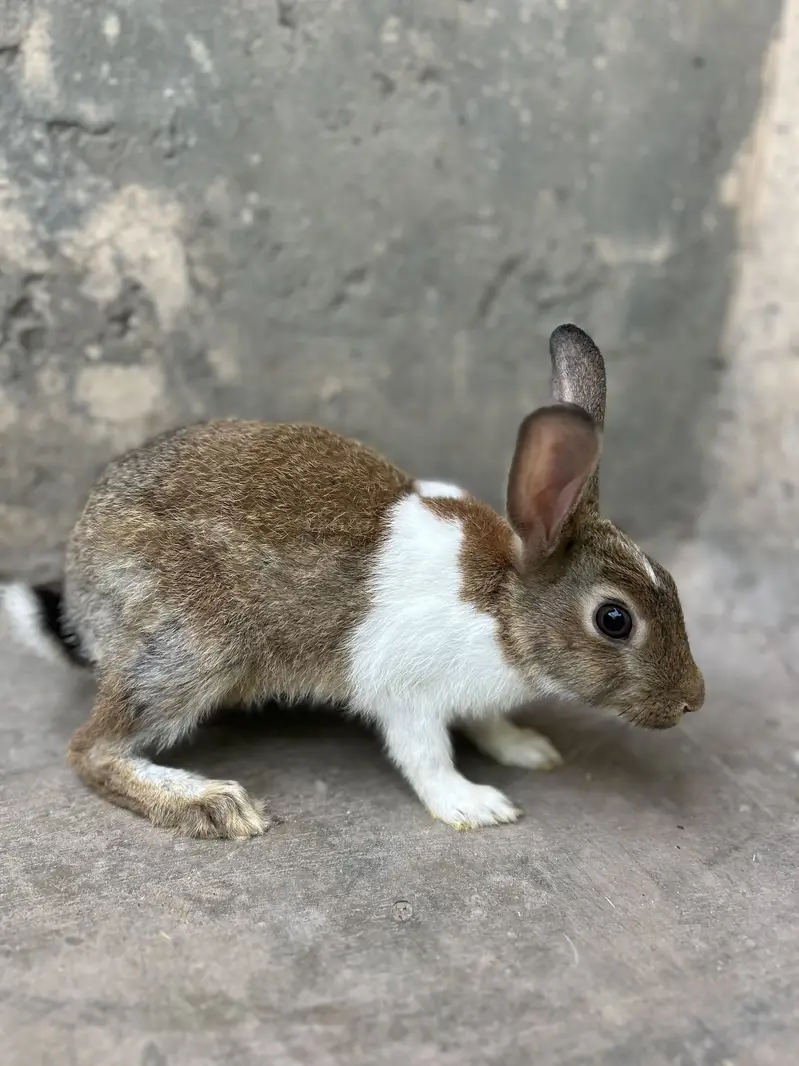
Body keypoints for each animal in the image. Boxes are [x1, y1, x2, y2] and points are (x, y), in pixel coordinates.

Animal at [2, 324, 705, 839]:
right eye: (614, 619)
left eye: (671, 583)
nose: (693, 701)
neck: (505, 610)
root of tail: (82, 591)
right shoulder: (406, 692)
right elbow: (426, 754)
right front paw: (476, 806)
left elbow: (488, 722)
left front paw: (528, 749)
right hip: (193, 648)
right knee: (91, 750)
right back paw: (213, 804)